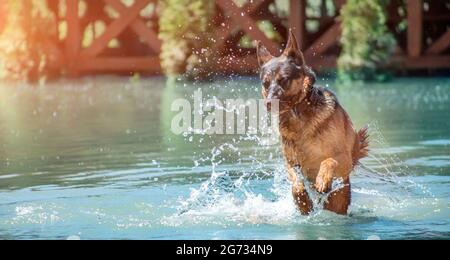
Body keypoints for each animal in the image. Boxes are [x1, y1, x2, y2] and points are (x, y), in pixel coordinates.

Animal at [256, 30, 370, 215]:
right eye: (265, 84)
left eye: (284, 80)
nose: (268, 103)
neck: (299, 114)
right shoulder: (291, 163)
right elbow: (296, 181)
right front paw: (302, 199)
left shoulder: (344, 159)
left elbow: (329, 160)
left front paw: (322, 179)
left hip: (339, 197)